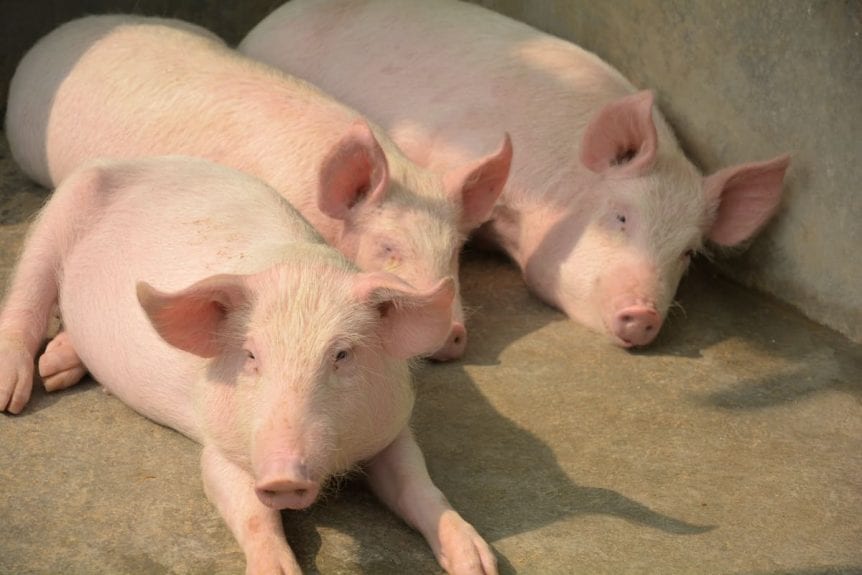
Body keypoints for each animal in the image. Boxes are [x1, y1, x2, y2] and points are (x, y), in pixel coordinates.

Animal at [0, 156, 498, 575]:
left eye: (341, 355)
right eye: (252, 356)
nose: (282, 475)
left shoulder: (392, 425)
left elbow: (417, 483)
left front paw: (479, 564)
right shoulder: (218, 443)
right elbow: (249, 508)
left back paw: (57, 368)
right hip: (59, 213)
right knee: (27, 294)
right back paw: (14, 397)